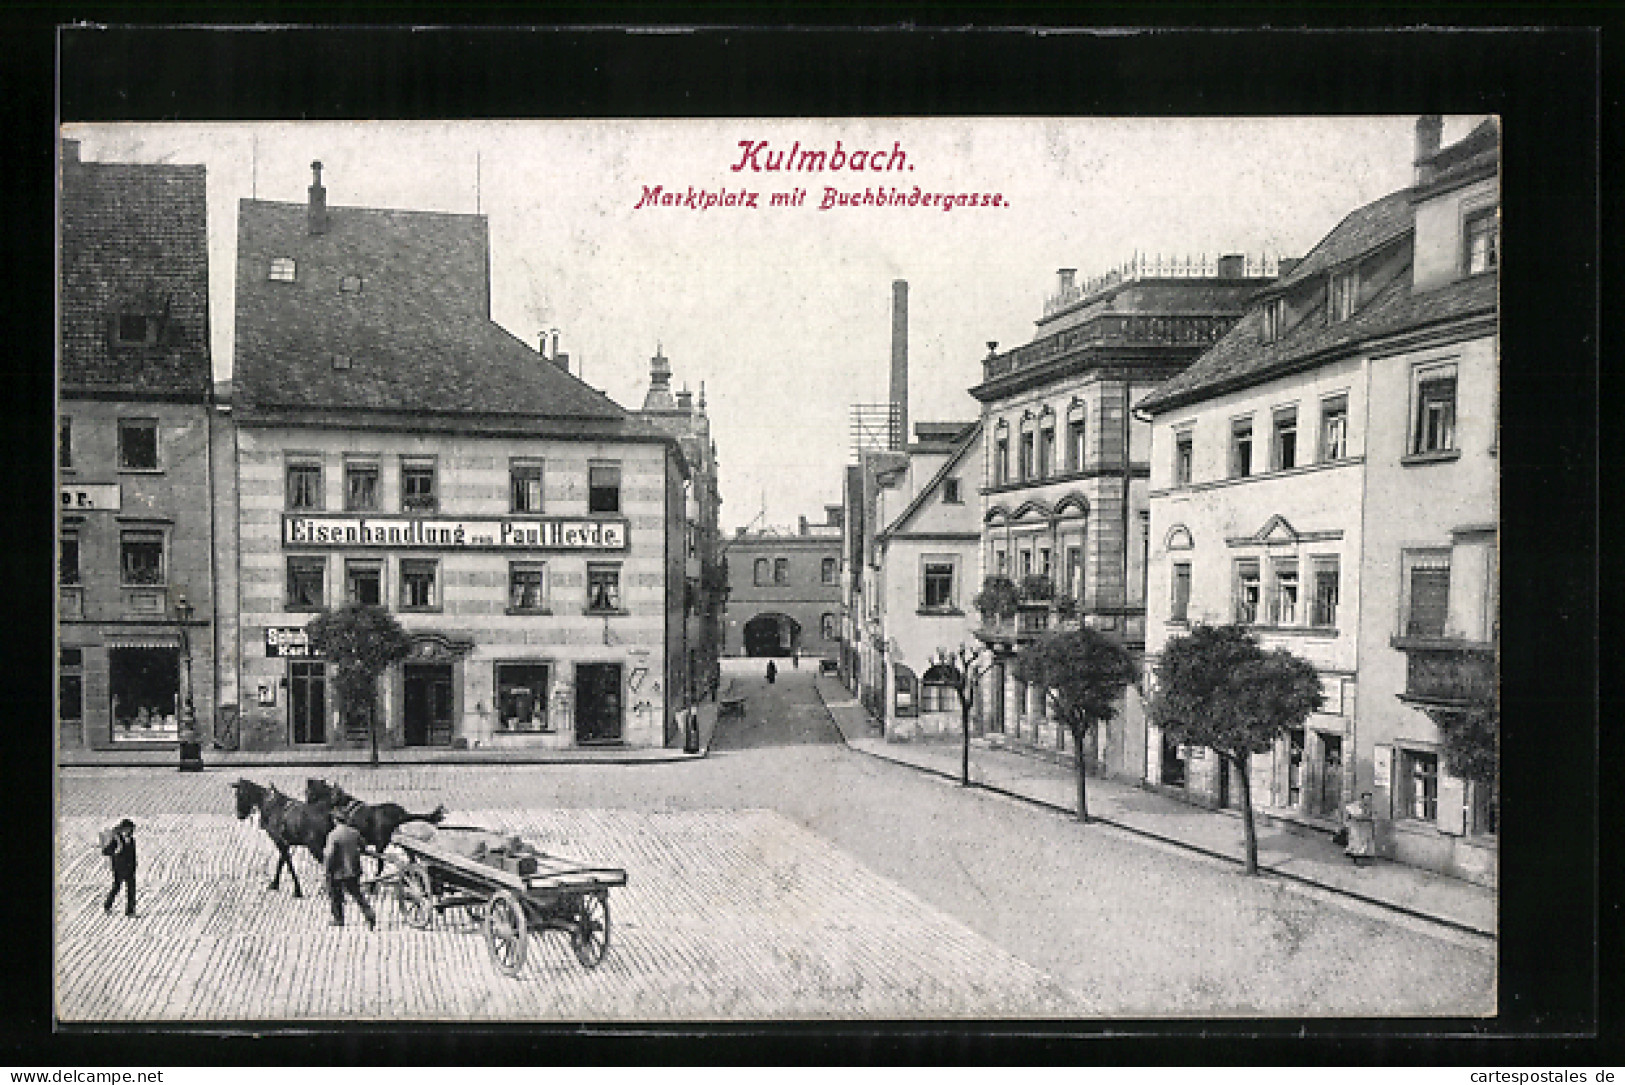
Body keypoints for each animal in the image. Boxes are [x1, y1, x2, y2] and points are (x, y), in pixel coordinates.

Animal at [302, 776, 445, 877]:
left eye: (307, 791)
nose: (306, 804)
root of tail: (401, 815)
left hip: (380, 845)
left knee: (381, 865)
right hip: (397, 843)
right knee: (411, 858)